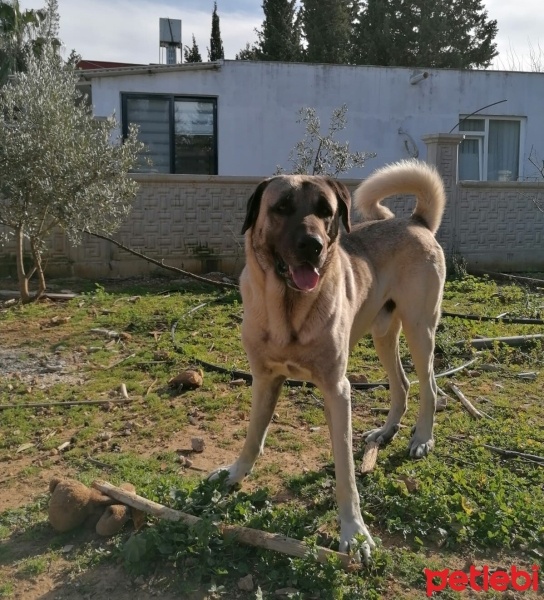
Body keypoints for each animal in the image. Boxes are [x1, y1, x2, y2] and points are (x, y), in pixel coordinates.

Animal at [210, 161, 444, 564]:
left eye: (326, 211)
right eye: (282, 207)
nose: (313, 246)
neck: (288, 309)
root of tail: (415, 221)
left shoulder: (338, 390)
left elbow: (345, 472)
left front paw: (354, 532)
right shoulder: (264, 379)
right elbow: (253, 436)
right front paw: (235, 474)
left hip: (420, 329)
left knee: (428, 387)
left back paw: (422, 439)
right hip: (384, 333)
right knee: (402, 383)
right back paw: (386, 432)